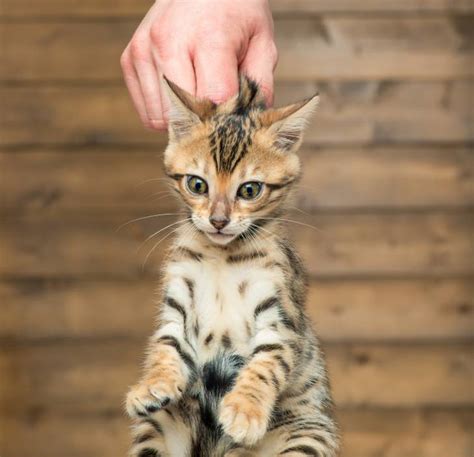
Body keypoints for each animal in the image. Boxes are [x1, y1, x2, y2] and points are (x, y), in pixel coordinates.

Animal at [125, 76, 340, 454]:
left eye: (250, 190)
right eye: (197, 184)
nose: (218, 220)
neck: (221, 259)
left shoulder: (281, 320)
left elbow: (267, 363)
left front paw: (245, 410)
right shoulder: (177, 310)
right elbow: (165, 348)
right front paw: (152, 383)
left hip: (308, 433)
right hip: (155, 431)